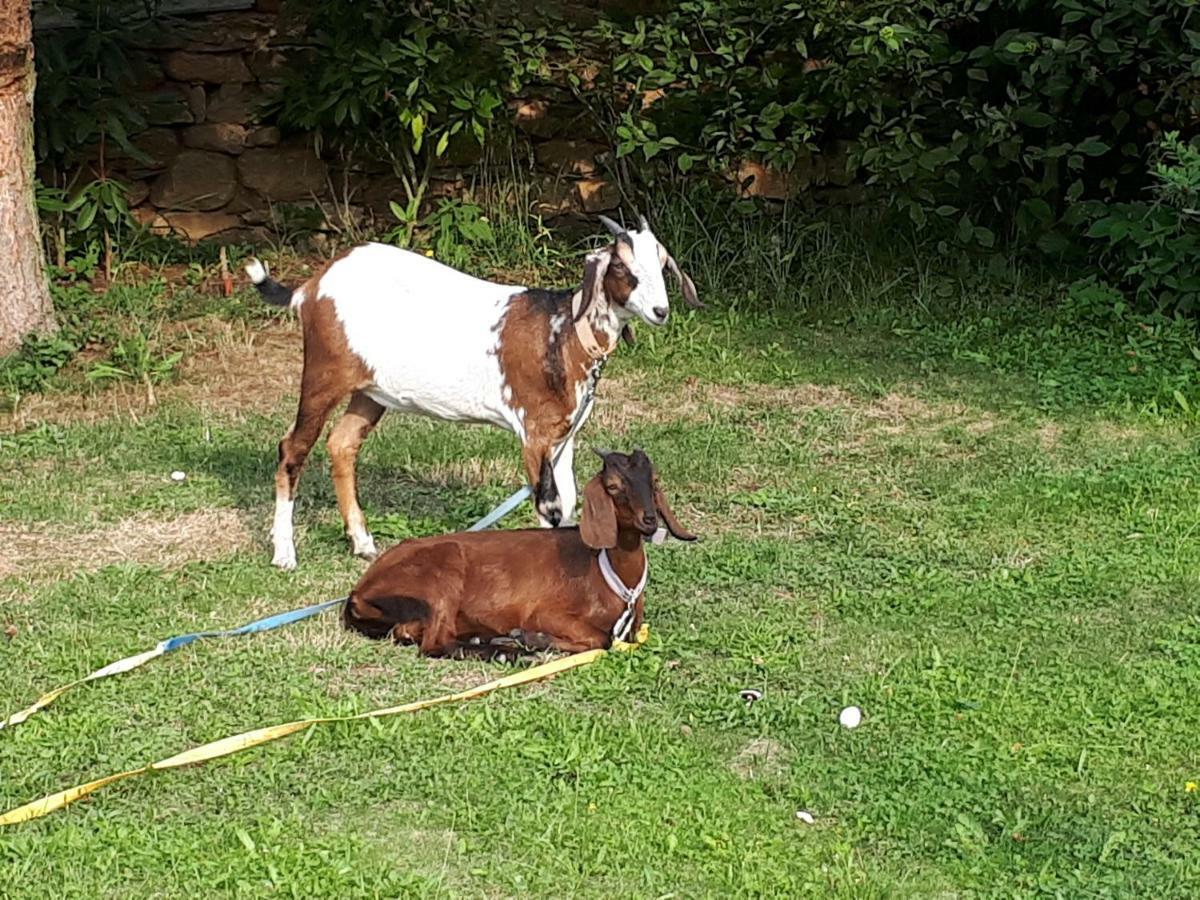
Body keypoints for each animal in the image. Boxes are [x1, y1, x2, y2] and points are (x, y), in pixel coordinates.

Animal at [244, 217, 700, 571]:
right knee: (293, 448)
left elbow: (568, 502)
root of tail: (312, 285)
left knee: (342, 444)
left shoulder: (565, 435)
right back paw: (284, 553)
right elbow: (549, 507)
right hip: (324, 372)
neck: (564, 332)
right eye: (623, 266)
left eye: (662, 265)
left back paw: (362, 542)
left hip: (371, 389)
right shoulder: (533, 432)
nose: (661, 312)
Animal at [340, 448, 696, 657]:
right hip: (441, 577)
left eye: (653, 481)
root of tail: (359, 591)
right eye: (613, 486)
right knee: (433, 643)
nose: (649, 520)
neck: (612, 576)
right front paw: (530, 639)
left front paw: (526, 639)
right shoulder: (546, 611)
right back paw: (508, 652)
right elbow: (599, 639)